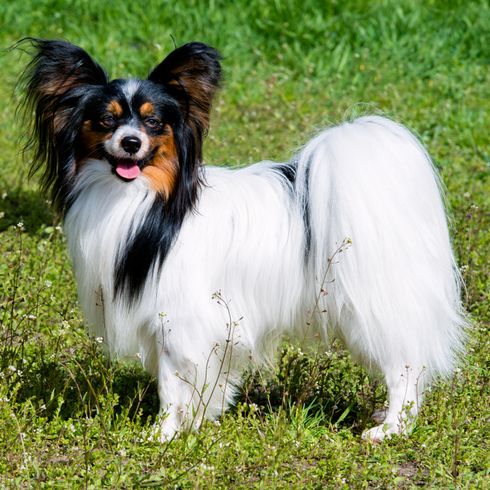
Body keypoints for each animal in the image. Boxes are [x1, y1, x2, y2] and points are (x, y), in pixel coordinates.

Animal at [19, 40, 466, 442]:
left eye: (153, 123)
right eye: (106, 121)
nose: (131, 143)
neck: (147, 201)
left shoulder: (177, 319)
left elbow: (170, 383)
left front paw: (163, 434)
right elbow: (203, 383)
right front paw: (198, 420)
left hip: (369, 308)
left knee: (405, 365)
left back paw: (391, 428)